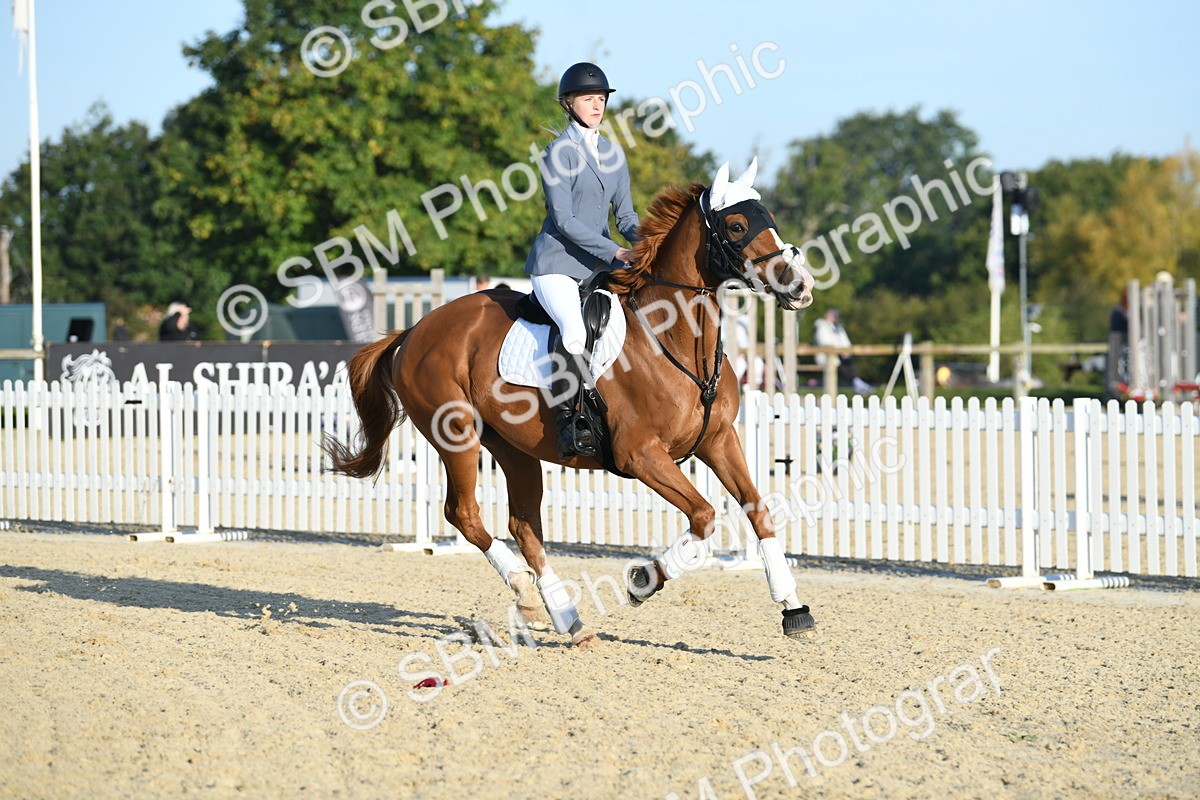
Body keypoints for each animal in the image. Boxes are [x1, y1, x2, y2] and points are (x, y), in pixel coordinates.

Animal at [323, 160, 817, 648]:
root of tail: (413, 331)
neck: (673, 337)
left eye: (769, 219)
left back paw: (570, 622)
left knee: (524, 526)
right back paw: (525, 593)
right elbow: (704, 516)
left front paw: (793, 608)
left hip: (513, 449)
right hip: (458, 437)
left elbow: (758, 511)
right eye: (736, 226)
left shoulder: (718, 441)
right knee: (463, 513)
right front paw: (644, 579)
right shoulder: (640, 455)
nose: (801, 286)